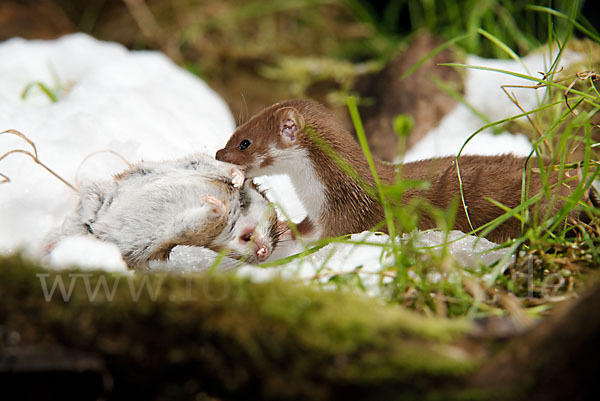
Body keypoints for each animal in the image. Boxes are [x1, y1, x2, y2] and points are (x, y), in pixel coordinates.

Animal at [46, 153, 278, 268]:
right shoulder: (196, 163)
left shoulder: (188, 231)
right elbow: (225, 168)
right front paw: (234, 182)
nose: (265, 253)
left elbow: (207, 218)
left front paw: (214, 201)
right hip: (95, 198)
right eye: (275, 219)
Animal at [216, 99, 592, 244]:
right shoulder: (318, 214)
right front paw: (286, 227)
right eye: (234, 131)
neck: (315, 195)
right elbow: (304, 226)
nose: (219, 153)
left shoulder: (347, 216)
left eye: (244, 142)